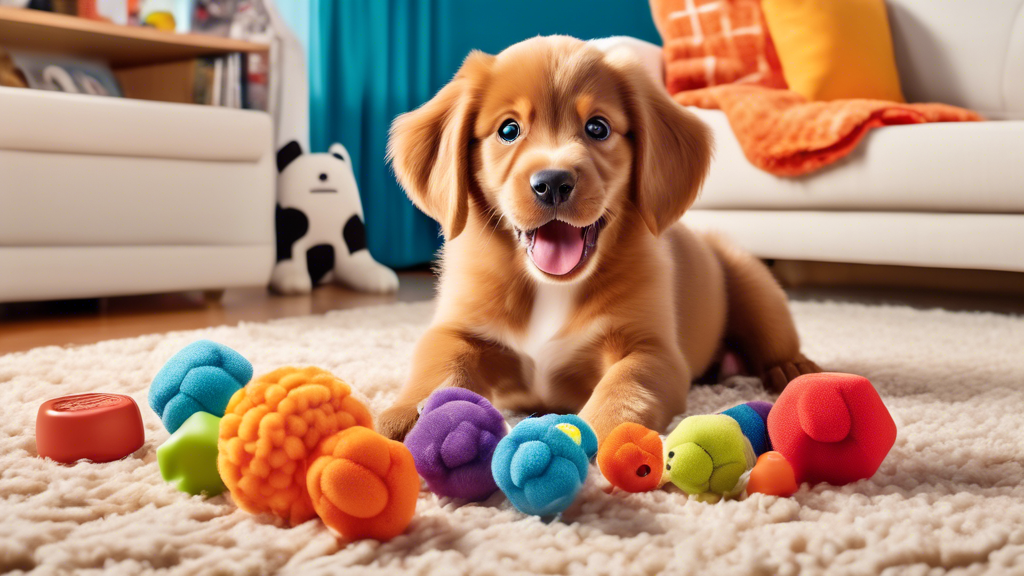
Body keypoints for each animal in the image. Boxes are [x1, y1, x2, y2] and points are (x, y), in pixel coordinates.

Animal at [380, 35, 819, 438]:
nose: (552, 183)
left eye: (597, 127)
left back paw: (792, 368)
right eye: (509, 129)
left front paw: (599, 432)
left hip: (752, 280)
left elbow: (625, 386)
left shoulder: (651, 348)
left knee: (775, 336)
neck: (548, 289)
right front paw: (403, 417)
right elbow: (439, 368)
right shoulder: (456, 329)